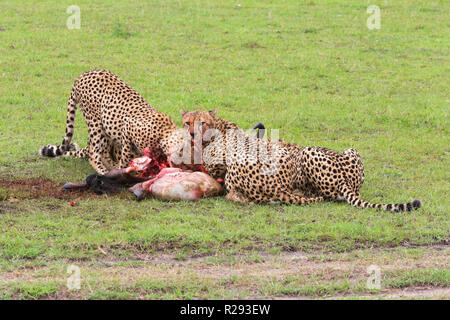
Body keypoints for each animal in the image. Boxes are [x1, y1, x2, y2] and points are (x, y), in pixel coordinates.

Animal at [179, 110, 422, 212]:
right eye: (187, 122)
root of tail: (347, 181)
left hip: (308, 152)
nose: (191, 133)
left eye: (199, 122)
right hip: (350, 151)